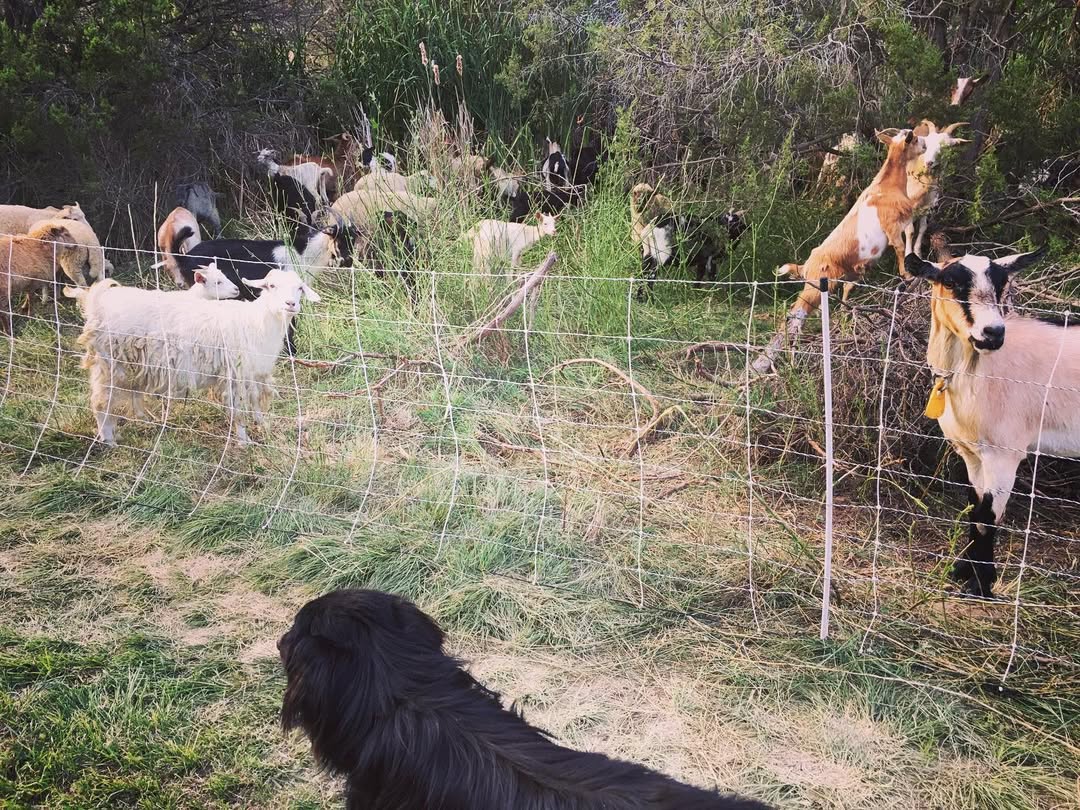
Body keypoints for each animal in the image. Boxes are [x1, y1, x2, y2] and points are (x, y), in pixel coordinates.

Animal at [69, 268, 319, 446]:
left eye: (300, 288)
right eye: (271, 286)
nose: (290, 304)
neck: (257, 322)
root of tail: (96, 304)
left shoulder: (254, 372)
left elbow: (256, 402)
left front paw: (264, 426)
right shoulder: (235, 373)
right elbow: (238, 409)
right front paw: (244, 441)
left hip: (131, 364)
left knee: (129, 392)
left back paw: (141, 421)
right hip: (110, 363)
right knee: (100, 401)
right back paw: (109, 438)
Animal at [904, 247, 1078, 597]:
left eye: (1001, 284)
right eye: (951, 282)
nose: (993, 333)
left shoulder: (1003, 452)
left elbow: (987, 516)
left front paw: (980, 586)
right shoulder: (972, 453)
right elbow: (973, 508)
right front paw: (962, 571)